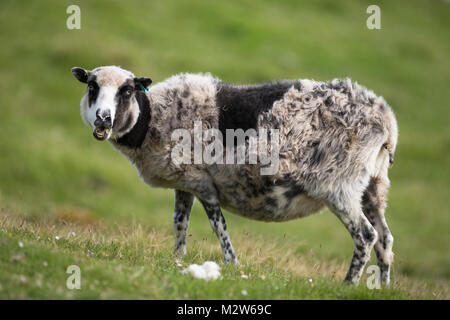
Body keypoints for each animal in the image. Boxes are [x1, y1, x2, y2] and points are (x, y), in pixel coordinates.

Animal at [72, 65, 400, 284]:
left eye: (126, 91)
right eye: (92, 87)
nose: (103, 119)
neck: (155, 118)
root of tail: (387, 122)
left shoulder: (202, 183)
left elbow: (218, 225)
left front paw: (231, 263)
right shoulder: (185, 183)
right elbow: (180, 221)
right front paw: (177, 258)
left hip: (339, 185)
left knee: (366, 236)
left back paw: (348, 285)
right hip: (374, 185)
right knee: (385, 239)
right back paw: (380, 289)